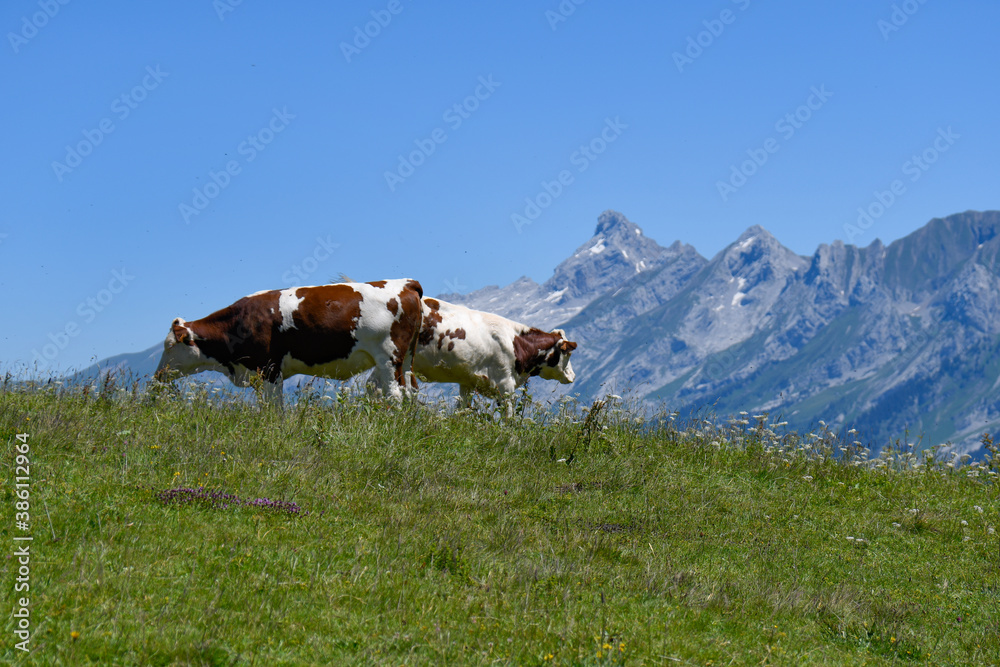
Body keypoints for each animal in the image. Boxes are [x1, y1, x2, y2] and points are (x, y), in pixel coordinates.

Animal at [154, 280, 424, 404]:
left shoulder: (270, 370)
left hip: (388, 358)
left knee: (396, 395)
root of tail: (404, 283)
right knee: (410, 391)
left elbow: (274, 410)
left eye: (169, 346)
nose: (158, 376)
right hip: (406, 359)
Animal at [408, 298, 580, 408]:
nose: (573, 375)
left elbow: (462, 410)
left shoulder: (467, 382)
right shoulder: (505, 384)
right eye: (568, 354)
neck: (517, 344)